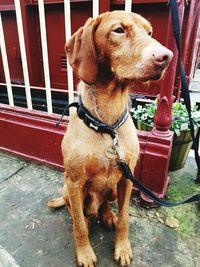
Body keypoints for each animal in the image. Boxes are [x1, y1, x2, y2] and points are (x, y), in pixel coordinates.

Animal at [48, 10, 172, 267]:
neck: (107, 125)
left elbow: (125, 218)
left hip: (113, 188)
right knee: (77, 213)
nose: (167, 57)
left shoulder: (127, 179)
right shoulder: (74, 181)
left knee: (105, 203)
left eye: (149, 32)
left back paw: (107, 216)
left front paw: (122, 247)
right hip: (66, 188)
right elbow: (79, 225)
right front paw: (84, 252)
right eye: (119, 30)